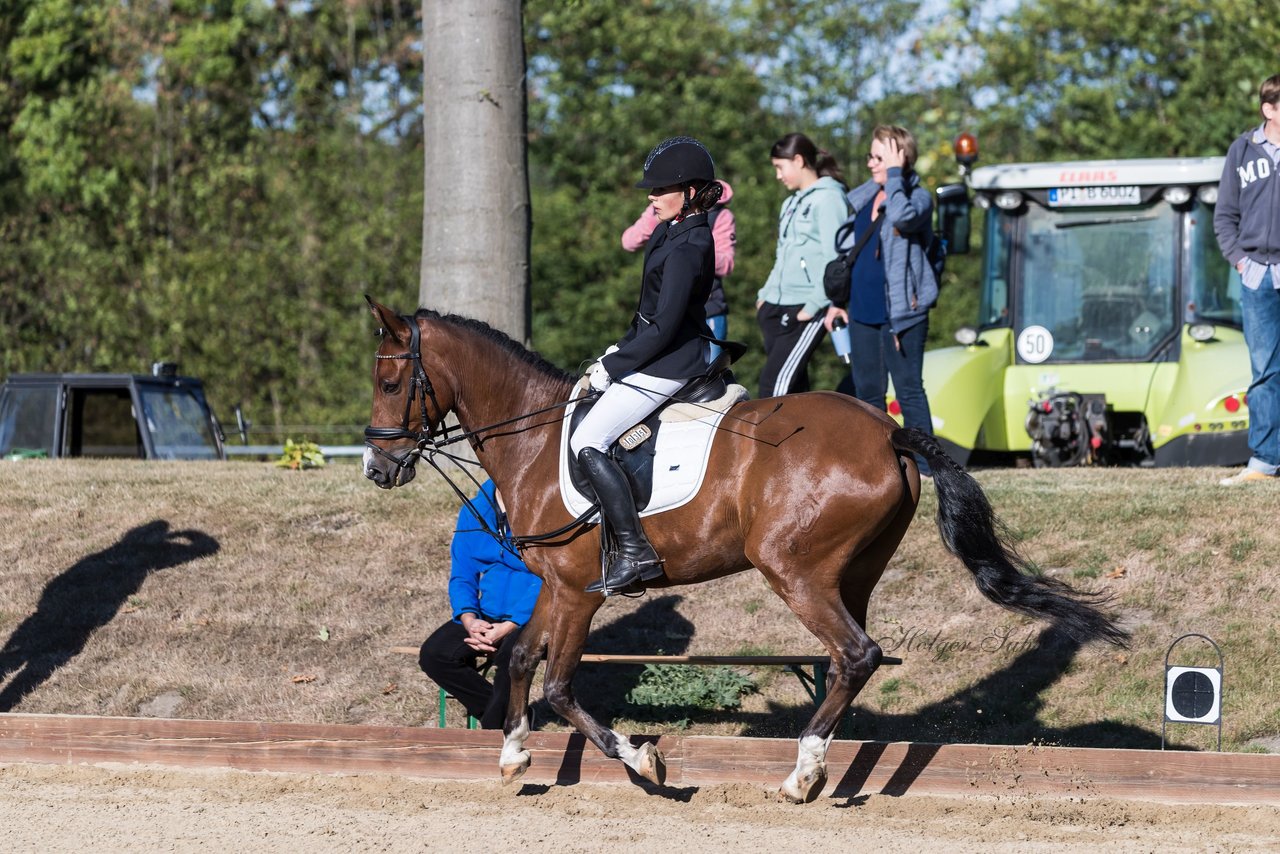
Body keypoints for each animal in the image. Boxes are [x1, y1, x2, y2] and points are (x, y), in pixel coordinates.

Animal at [363, 299, 1131, 804]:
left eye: (391, 381)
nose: (377, 468)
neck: (534, 436)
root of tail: (887, 431)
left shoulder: (580, 589)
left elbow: (558, 683)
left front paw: (644, 761)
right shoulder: (557, 583)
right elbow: (523, 658)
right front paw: (513, 755)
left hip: (791, 569)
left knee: (855, 654)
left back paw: (802, 775)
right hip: (853, 572)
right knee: (849, 658)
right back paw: (816, 766)